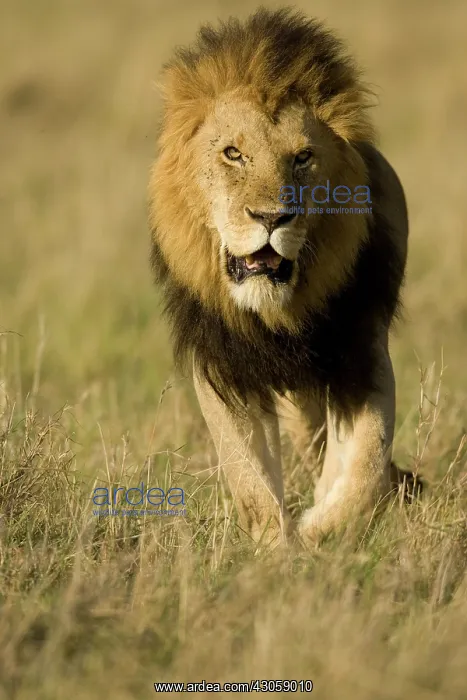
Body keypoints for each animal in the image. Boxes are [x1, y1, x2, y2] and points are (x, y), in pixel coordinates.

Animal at [149, 8, 421, 547]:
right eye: (233, 154)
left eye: (302, 157)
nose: (271, 218)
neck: (277, 311)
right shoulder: (222, 365)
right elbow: (248, 477)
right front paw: (274, 548)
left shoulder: (361, 351)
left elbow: (366, 460)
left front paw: (324, 528)